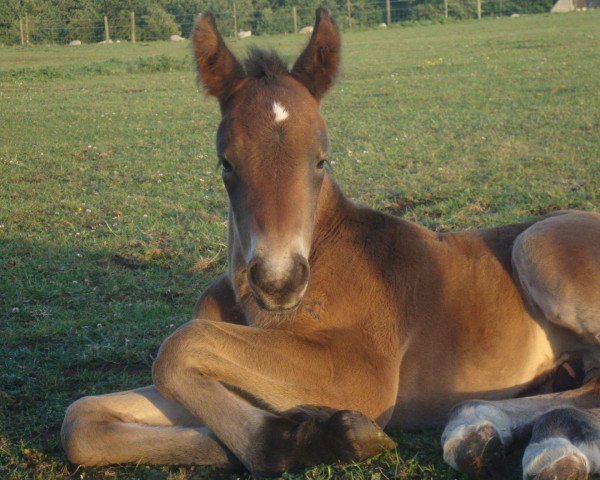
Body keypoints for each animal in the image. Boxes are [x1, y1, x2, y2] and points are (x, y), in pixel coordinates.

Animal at [61, 7, 600, 480]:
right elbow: (82, 418)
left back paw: (535, 447)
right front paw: (289, 435)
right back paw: (484, 432)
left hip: (537, 245)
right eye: (226, 163)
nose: (279, 282)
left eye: (321, 160)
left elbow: (180, 345)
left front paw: (304, 440)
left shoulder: (362, 375)